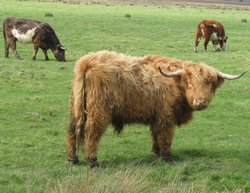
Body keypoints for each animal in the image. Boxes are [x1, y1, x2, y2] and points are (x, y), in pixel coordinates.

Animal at [66, 50, 244, 167]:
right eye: (189, 82)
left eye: (209, 82)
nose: (200, 101)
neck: (176, 84)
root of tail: (87, 63)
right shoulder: (166, 116)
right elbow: (165, 136)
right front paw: (167, 157)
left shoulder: (156, 116)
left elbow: (156, 135)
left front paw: (156, 153)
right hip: (99, 112)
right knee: (91, 133)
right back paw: (92, 161)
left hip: (76, 109)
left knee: (72, 131)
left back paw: (72, 159)